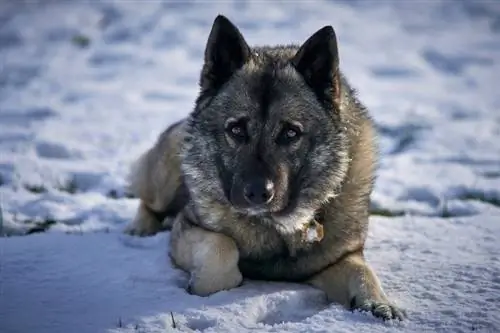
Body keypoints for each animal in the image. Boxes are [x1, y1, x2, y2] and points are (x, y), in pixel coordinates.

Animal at [125, 14, 406, 320]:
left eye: (291, 133)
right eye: (236, 130)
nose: (258, 192)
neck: (276, 227)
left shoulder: (338, 259)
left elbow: (362, 272)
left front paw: (379, 302)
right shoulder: (187, 226)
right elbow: (222, 249)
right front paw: (206, 283)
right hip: (165, 177)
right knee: (147, 202)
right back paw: (140, 229)